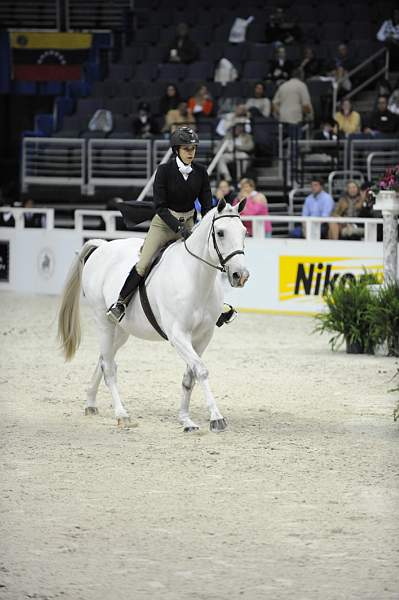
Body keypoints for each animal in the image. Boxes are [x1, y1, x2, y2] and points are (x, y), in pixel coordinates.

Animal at [57, 198, 250, 432]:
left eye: (243, 231)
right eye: (220, 233)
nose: (241, 275)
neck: (195, 276)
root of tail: (103, 246)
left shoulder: (203, 336)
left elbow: (190, 376)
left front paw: (185, 419)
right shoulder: (178, 336)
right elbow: (201, 370)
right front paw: (216, 418)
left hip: (121, 330)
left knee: (104, 359)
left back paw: (91, 403)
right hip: (103, 321)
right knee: (109, 367)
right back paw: (121, 414)